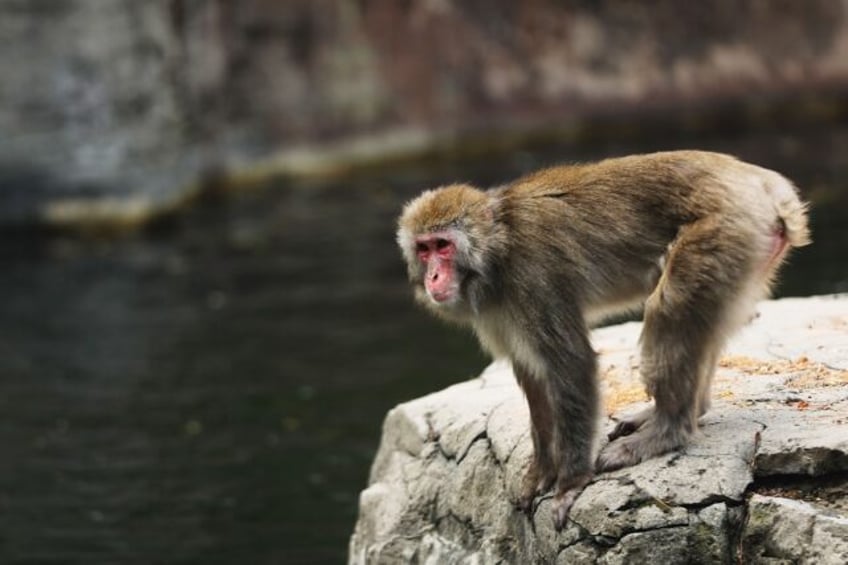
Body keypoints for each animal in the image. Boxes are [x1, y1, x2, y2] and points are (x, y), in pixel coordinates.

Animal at [396, 151, 808, 528]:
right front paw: (541, 471)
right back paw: (687, 409)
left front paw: (570, 483)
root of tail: (765, 183)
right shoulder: (499, 312)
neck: (499, 249)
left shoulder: (534, 276)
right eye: (424, 249)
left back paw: (667, 431)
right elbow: (532, 374)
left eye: (443, 246)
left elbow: (571, 364)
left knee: (670, 306)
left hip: (725, 229)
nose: (433, 277)